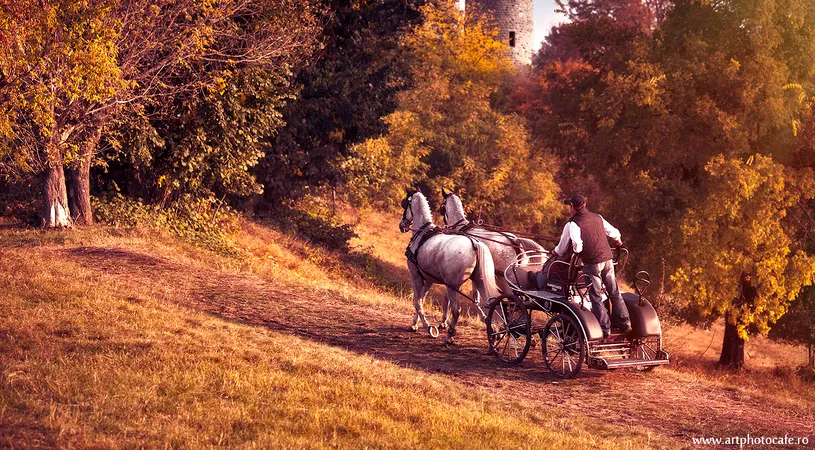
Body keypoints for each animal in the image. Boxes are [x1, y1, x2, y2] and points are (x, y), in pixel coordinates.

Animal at [398, 190, 500, 344]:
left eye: (405, 203)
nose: (402, 225)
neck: (422, 232)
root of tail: (474, 244)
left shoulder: (415, 276)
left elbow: (417, 302)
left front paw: (428, 327)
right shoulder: (428, 279)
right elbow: (421, 299)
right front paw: (414, 324)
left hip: (453, 286)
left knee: (456, 310)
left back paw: (449, 335)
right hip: (479, 281)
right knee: (489, 305)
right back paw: (493, 333)